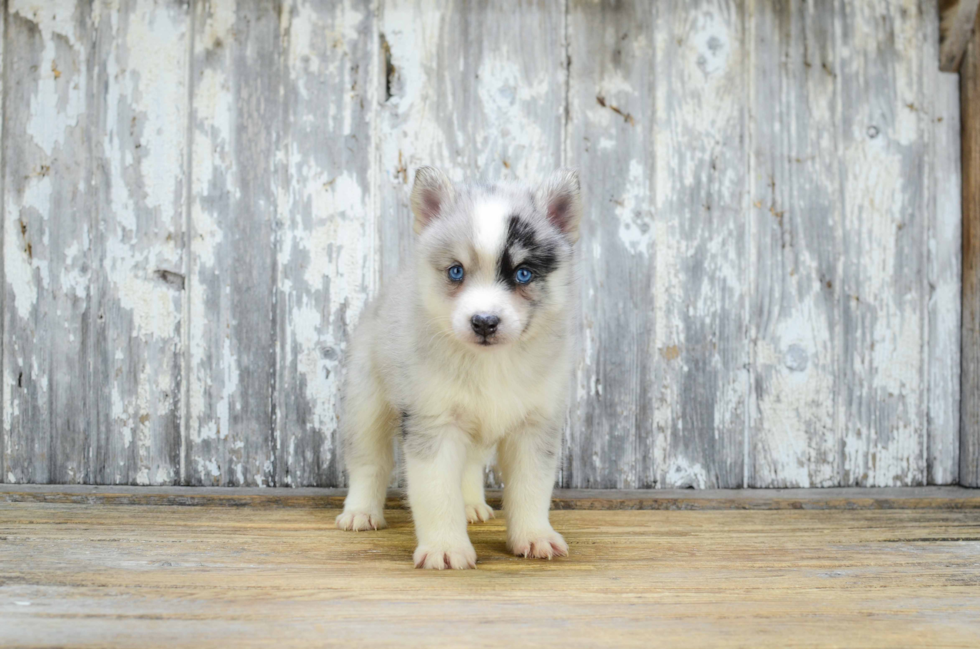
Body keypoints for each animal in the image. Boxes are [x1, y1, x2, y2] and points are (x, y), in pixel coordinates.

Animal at [336, 167, 580, 568]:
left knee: (470, 465)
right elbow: (436, 493)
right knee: (369, 462)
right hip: (365, 404)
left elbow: (531, 489)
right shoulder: (433, 425)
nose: (484, 322)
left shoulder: (534, 426)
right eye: (455, 272)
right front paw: (445, 548)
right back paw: (360, 512)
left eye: (523, 274)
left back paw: (471, 505)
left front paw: (534, 536)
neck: (491, 363)